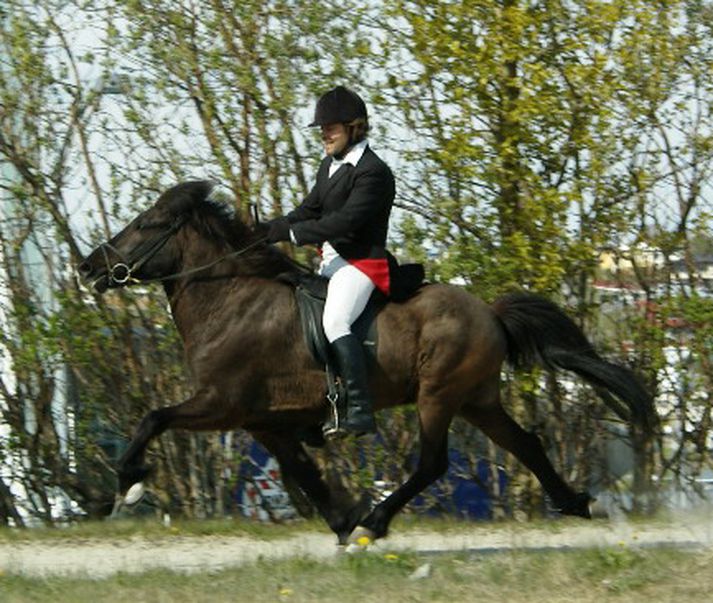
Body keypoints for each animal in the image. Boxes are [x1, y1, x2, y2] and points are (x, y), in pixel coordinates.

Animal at [79, 180, 656, 548]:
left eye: (146, 224)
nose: (88, 268)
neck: (231, 297)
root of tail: (489, 312)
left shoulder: (222, 404)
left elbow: (153, 418)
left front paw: (130, 481)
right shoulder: (261, 419)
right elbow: (301, 469)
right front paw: (340, 519)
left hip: (438, 396)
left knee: (432, 464)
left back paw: (376, 523)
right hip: (477, 399)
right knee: (526, 444)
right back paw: (577, 503)